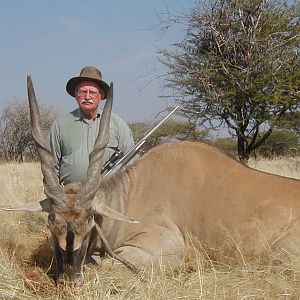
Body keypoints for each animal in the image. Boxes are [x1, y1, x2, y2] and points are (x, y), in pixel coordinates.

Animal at [1, 75, 300, 286]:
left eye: (89, 221)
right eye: (52, 222)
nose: (70, 280)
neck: (131, 192)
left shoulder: (164, 247)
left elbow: (103, 263)